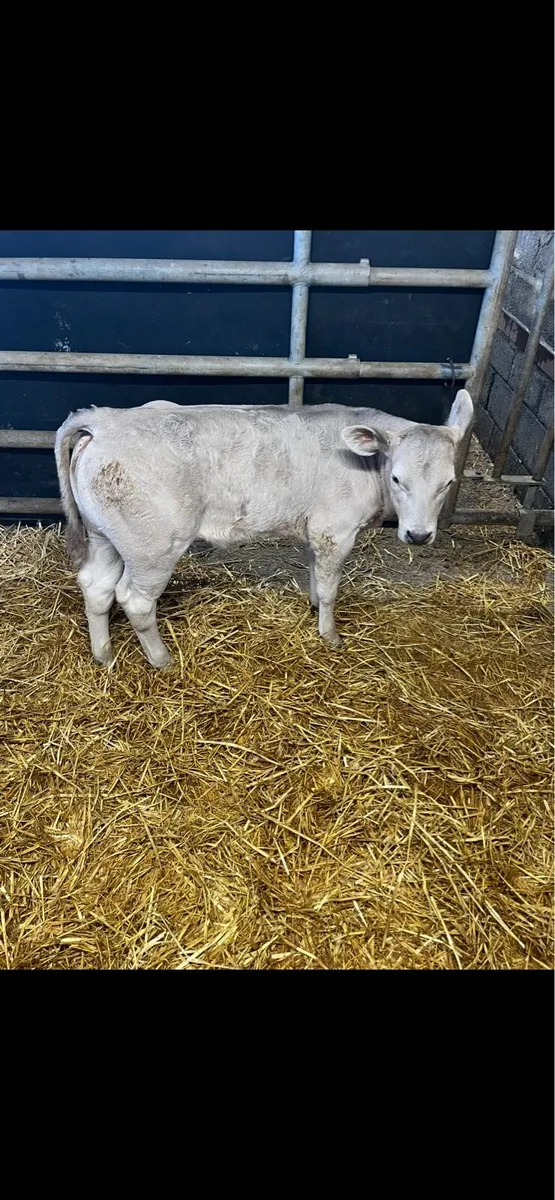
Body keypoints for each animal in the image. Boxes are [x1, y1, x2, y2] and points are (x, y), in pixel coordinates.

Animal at [54, 391, 473, 668]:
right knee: (135, 599)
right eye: (399, 479)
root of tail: (106, 419)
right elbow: (332, 588)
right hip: (154, 546)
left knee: (96, 584)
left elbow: (315, 574)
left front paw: (313, 605)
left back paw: (104, 655)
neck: (366, 465)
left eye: (449, 483)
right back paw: (162, 660)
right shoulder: (335, 530)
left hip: (106, 535)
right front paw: (330, 635)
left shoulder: (314, 529)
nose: (418, 535)